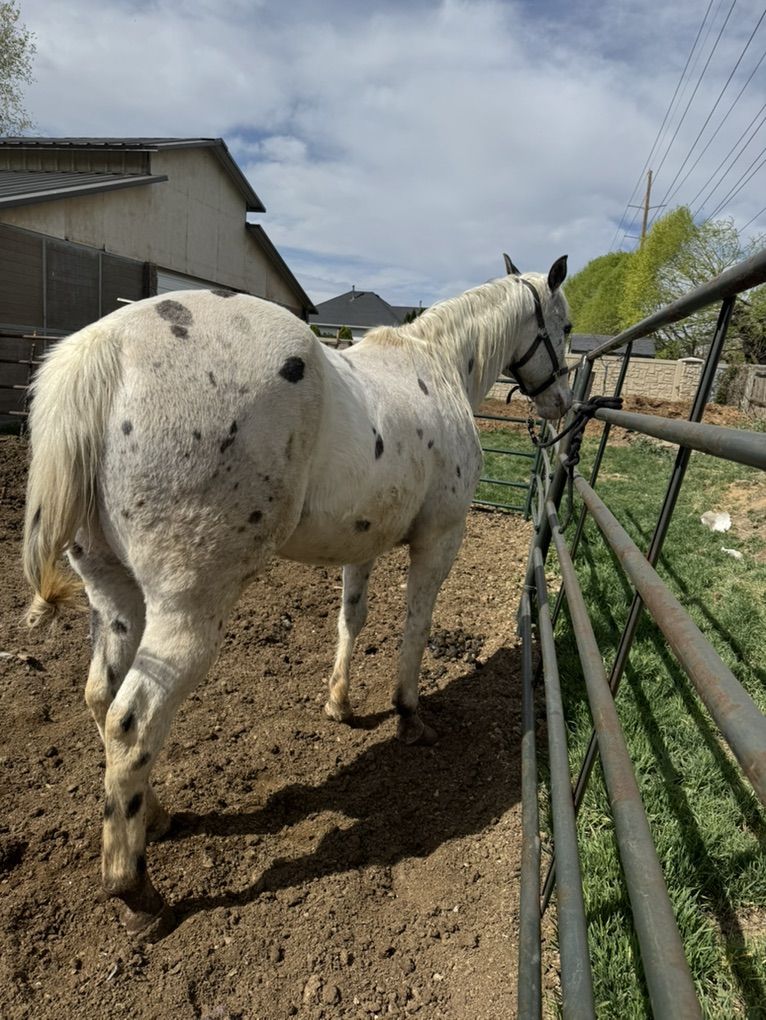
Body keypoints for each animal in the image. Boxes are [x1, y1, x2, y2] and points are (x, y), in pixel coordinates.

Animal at [22, 253, 572, 939]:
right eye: (565, 325)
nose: (562, 402)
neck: (436, 367)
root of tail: (104, 351)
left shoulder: (362, 545)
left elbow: (352, 620)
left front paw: (340, 703)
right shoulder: (439, 540)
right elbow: (415, 629)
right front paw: (409, 715)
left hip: (114, 597)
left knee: (102, 699)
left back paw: (157, 817)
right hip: (186, 611)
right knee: (131, 723)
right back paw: (136, 890)